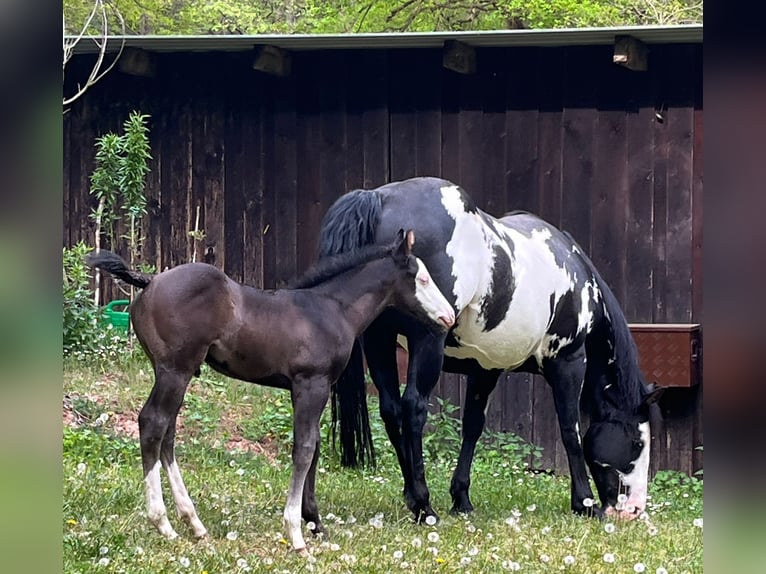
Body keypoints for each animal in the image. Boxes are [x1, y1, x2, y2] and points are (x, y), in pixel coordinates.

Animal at [86, 229, 455, 554]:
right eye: (421, 278)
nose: (449, 316)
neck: (331, 310)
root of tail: (149, 281)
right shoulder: (311, 383)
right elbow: (304, 449)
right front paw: (296, 534)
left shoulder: (308, 388)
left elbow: (313, 448)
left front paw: (315, 524)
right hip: (175, 371)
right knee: (153, 423)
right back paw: (163, 523)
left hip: (172, 372)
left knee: (168, 433)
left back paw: (194, 523)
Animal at [318, 177, 663, 524]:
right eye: (637, 442)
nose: (634, 509)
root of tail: (379, 199)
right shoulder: (567, 361)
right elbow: (570, 430)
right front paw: (584, 502)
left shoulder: (485, 370)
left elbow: (473, 427)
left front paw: (461, 498)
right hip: (426, 340)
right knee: (413, 407)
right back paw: (424, 504)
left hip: (379, 339)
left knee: (390, 410)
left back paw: (413, 499)